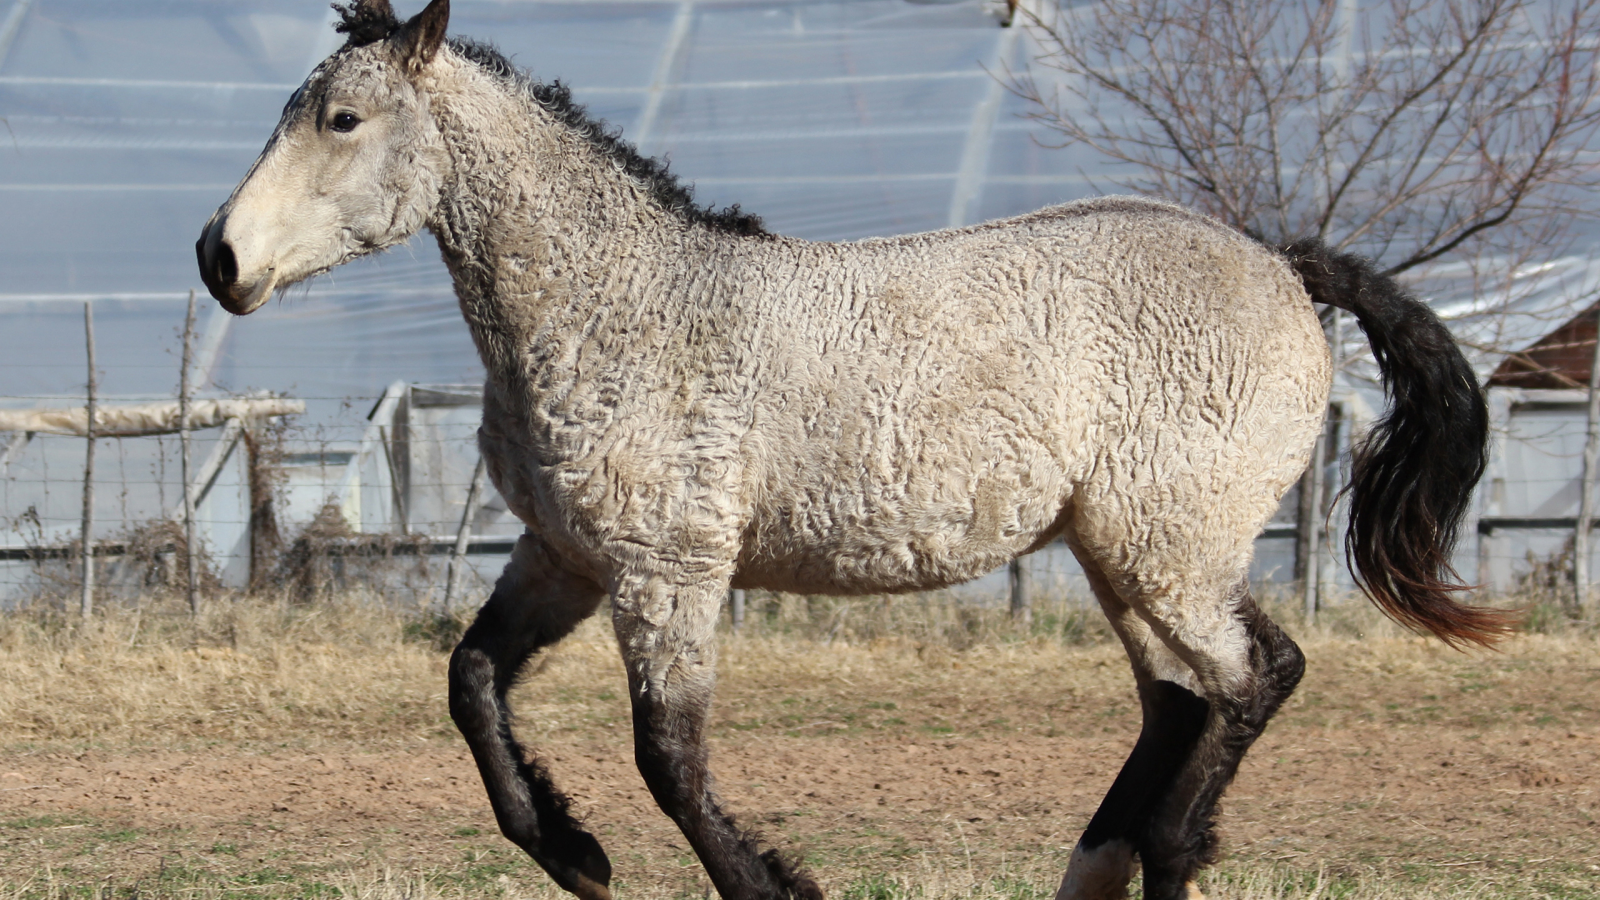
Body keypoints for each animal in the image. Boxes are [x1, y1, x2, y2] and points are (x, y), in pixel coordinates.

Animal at [193, 3, 1504, 890]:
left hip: (1169, 552)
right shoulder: (563, 558)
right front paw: (571, 849)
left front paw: (767, 882)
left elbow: (669, 761)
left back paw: (1165, 848)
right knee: (1184, 707)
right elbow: (470, 683)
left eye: (341, 118)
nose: (219, 257)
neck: (620, 309)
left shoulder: (670, 573)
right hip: (1120, 559)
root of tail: (1284, 264)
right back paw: (1102, 864)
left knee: (1255, 680)